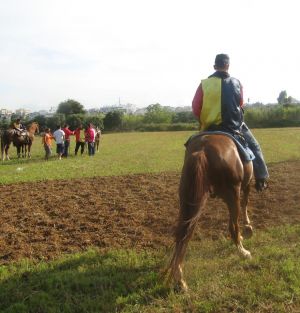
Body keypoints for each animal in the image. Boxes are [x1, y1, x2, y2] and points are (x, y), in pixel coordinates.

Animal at [168, 132, 254, 290]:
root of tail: (202, 150)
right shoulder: (246, 185)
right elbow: (245, 204)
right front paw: (247, 227)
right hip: (233, 193)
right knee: (233, 226)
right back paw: (243, 252)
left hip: (190, 200)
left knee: (184, 234)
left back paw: (180, 278)